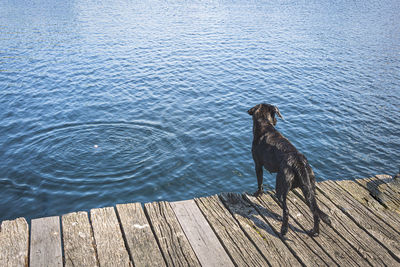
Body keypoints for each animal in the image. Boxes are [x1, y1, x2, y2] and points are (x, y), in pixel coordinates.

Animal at [247, 103, 332, 238]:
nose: (276, 121)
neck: (265, 124)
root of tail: (298, 162)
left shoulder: (258, 165)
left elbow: (260, 182)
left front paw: (257, 193)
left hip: (281, 186)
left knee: (286, 210)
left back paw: (284, 230)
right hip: (309, 187)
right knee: (315, 211)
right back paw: (314, 232)